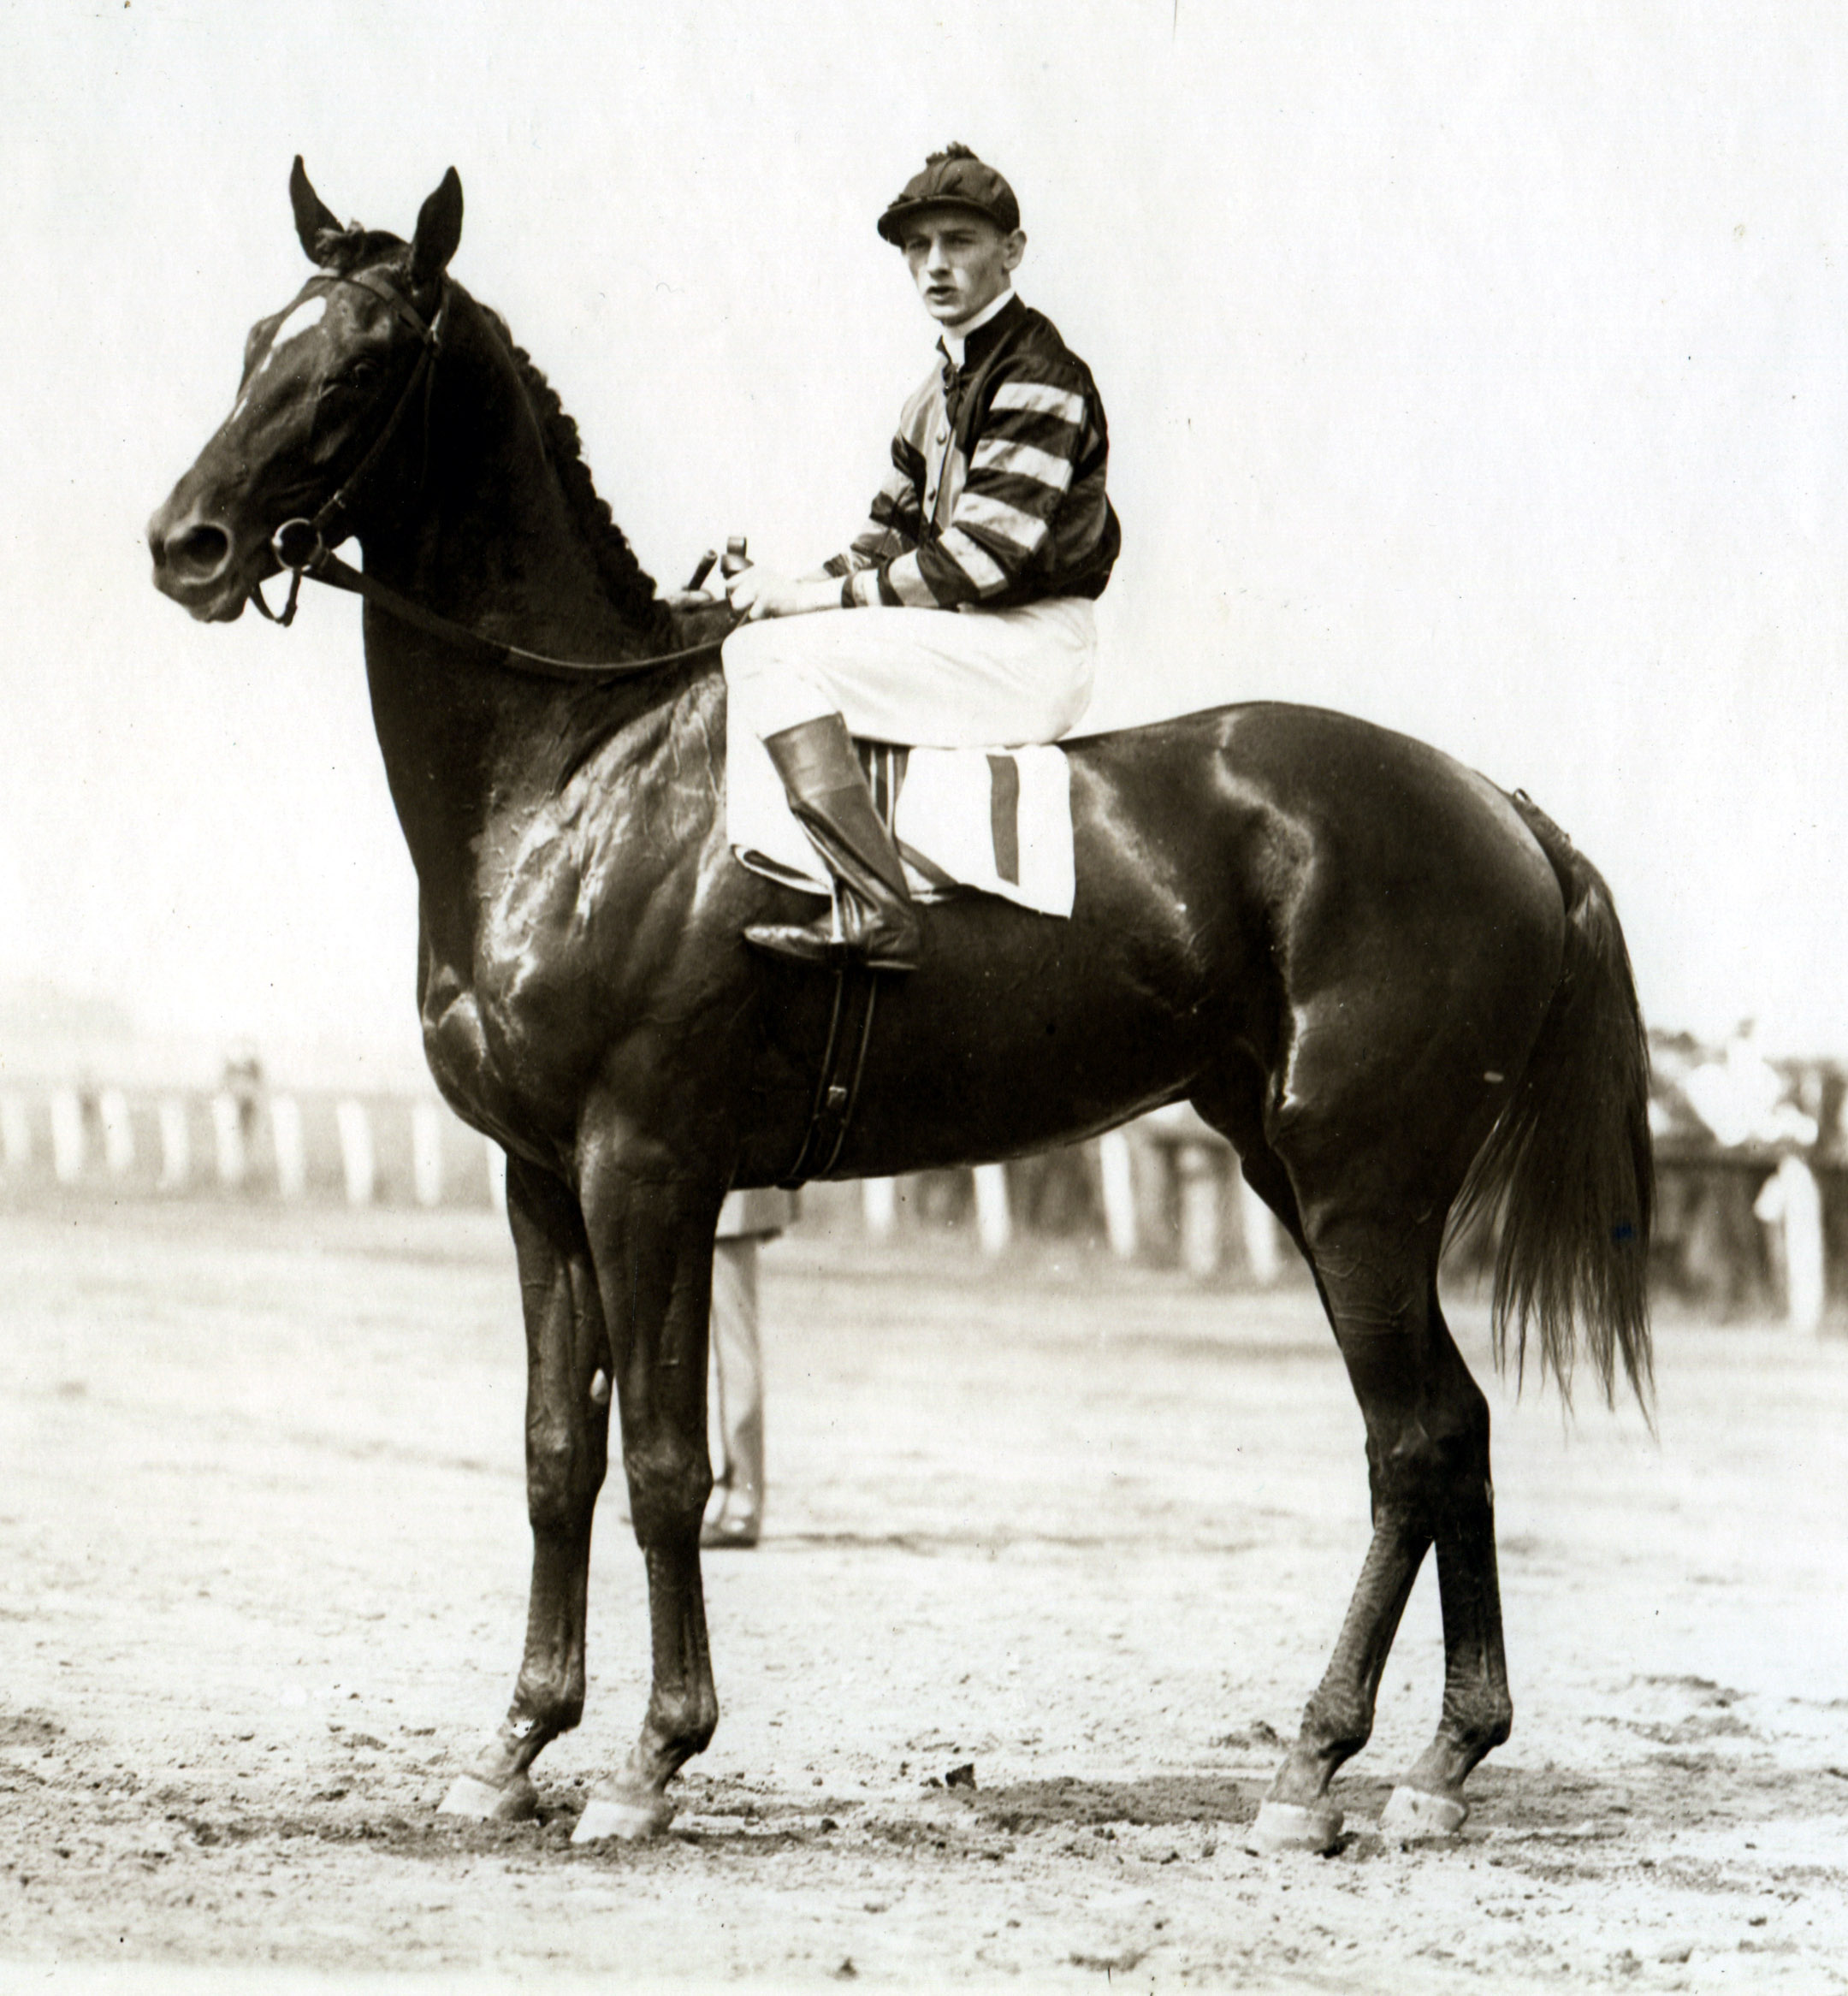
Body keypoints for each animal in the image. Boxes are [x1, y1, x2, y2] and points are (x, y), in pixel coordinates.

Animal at [140, 163, 1652, 1844]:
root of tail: (1498, 805)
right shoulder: (538, 1179)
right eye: (252, 345)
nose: (186, 544)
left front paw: (650, 1761)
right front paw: (515, 1745)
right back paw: (1441, 1764)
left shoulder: (647, 1168)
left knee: (1412, 1440)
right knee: (1456, 1432)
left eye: (355, 366)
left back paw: (1313, 1764)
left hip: (1360, 1187)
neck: (579, 769)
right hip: (1301, 1171)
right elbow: (553, 1454)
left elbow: (662, 1459)